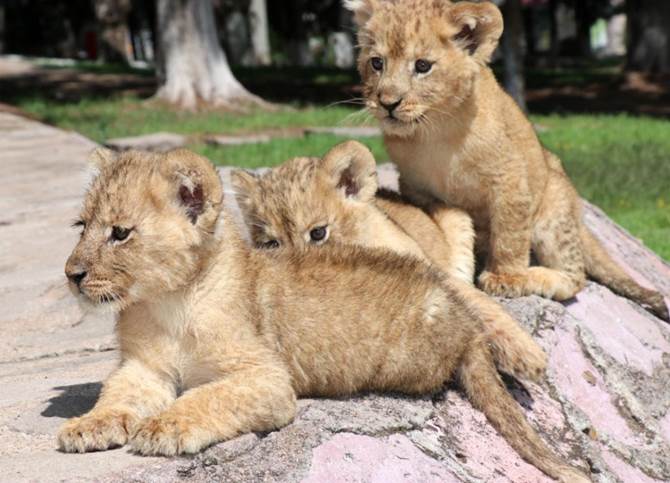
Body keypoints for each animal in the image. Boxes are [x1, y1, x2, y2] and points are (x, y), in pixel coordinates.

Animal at [58, 148, 588, 482]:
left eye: (121, 233)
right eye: (82, 226)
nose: (72, 274)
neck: (166, 301)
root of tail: (467, 333)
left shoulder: (267, 379)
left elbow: (207, 397)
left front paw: (165, 426)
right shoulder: (143, 369)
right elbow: (117, 395)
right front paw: (88, 426)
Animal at [345, 0, 668, 321]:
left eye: (422, 66)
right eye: (377, 63)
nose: (387, 103)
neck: (432, 132)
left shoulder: (510, 177)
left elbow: (509, 232)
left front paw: (506, 277)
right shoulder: (414, 186)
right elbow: (440, 216)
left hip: (553, 212)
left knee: (577, 278)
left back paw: (537, 277)